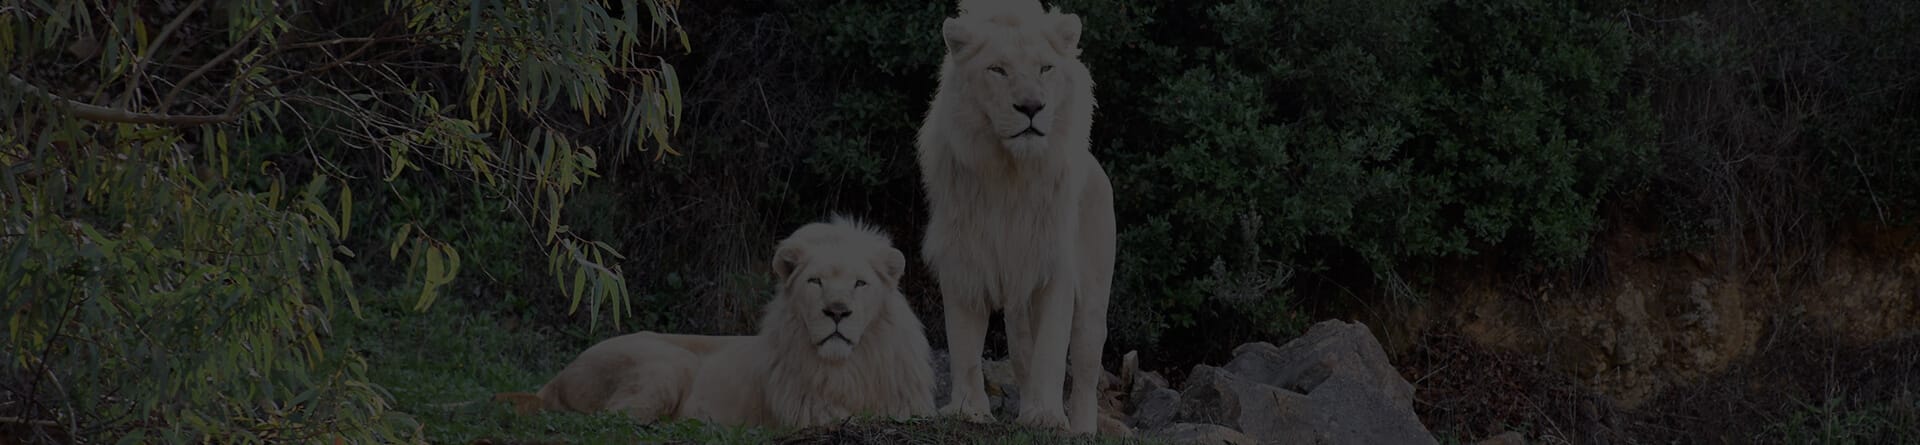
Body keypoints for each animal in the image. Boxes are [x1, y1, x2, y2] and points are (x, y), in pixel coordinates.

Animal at [500, 216, 937, 428]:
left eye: (860, 284)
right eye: (815, 282)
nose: (837, 311)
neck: (848, 366)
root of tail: (555, 379)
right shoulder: (804, 411)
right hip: (667, 362)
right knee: (610, 418)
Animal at [915, 0, 1119, 436]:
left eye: (1045, 68)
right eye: (998, 70)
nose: (1030, 108)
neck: (1009, 173)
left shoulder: (1054, 266)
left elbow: (1053, 350)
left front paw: (1046, 417)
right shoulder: (964, 258)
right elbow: (963, 343)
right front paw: (968, 410)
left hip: (1094, 298)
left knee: (1086, 368)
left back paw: (1082, 428)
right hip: (1017, 308)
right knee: (1022, 355)